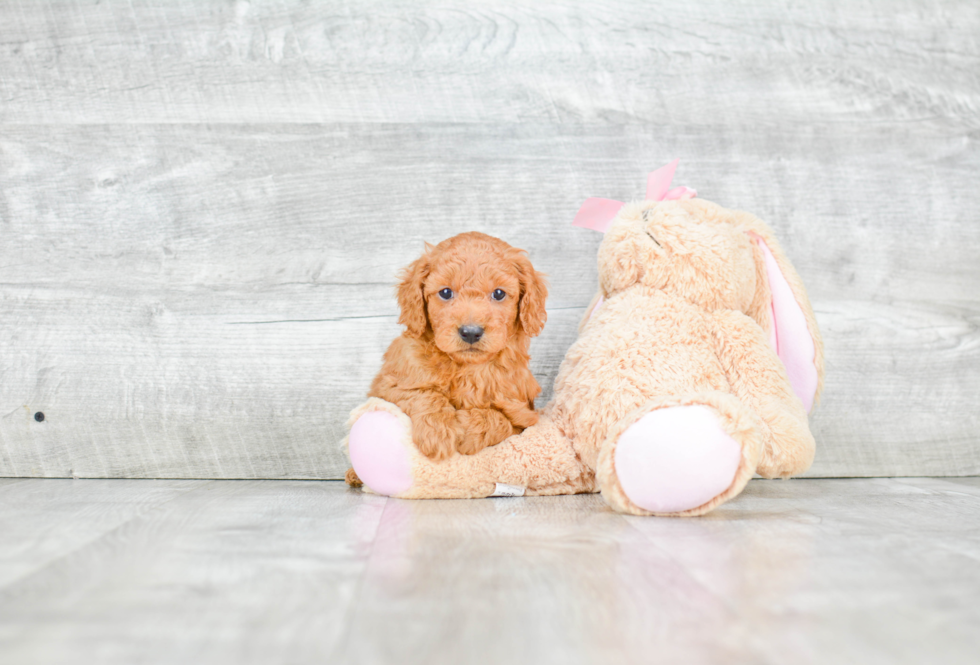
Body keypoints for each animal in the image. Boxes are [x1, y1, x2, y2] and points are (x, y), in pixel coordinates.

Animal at [348, 231, 548, 474]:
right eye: (445, 292)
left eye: (499, 293)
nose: (470, 332)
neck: (467, 367)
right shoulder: (389, 386)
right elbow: (424, 393)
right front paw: (437, 433)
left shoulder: (525, 416)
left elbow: (500, 420)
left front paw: (466, 427)